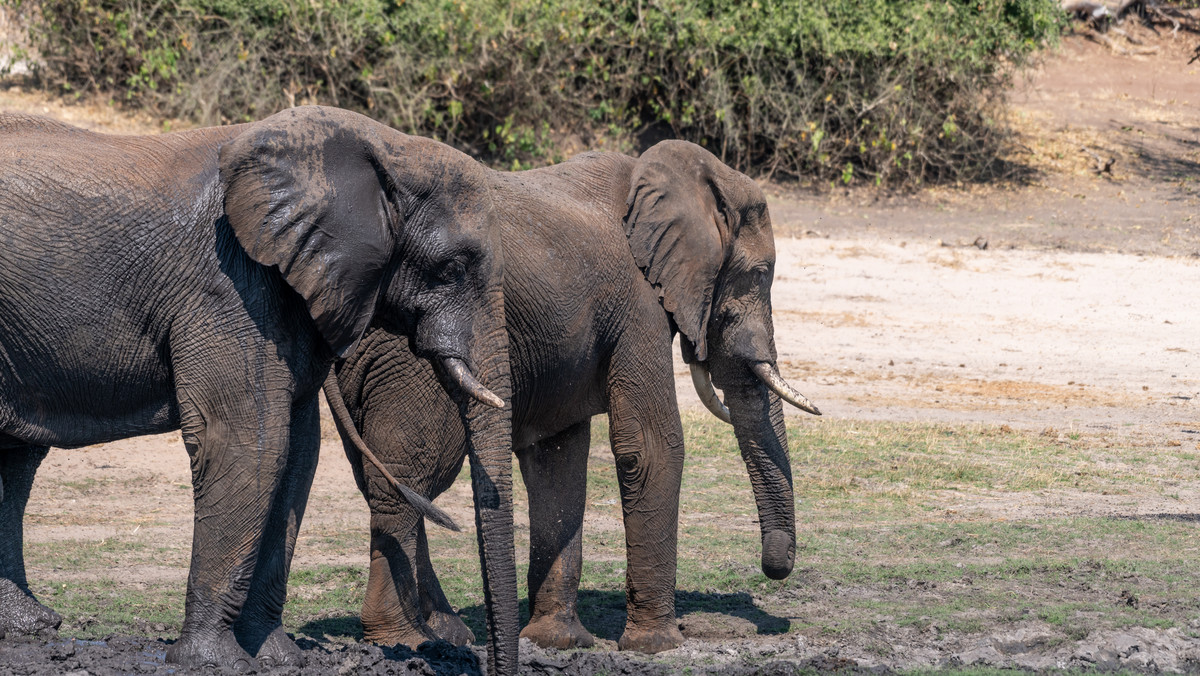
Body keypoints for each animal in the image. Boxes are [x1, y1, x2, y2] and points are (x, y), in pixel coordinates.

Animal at [0, 106, 516, 676]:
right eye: (453, 267)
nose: (484, 658)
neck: (382, 148)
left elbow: (297, 455)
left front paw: (277, 656)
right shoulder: (229, 287)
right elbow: (251, 444)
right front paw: (213, 661)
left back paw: (30, 626)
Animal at [328, 141, 816, 657]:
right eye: (759, 275)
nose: (775, 568)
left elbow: (557, 460)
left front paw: (557, 641)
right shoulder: (638, 302)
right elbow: (651, 446)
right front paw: (657, 646)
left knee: (388, 479)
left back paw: (444, 633)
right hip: (411, 356)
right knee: (414, 472)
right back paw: (403, 637)